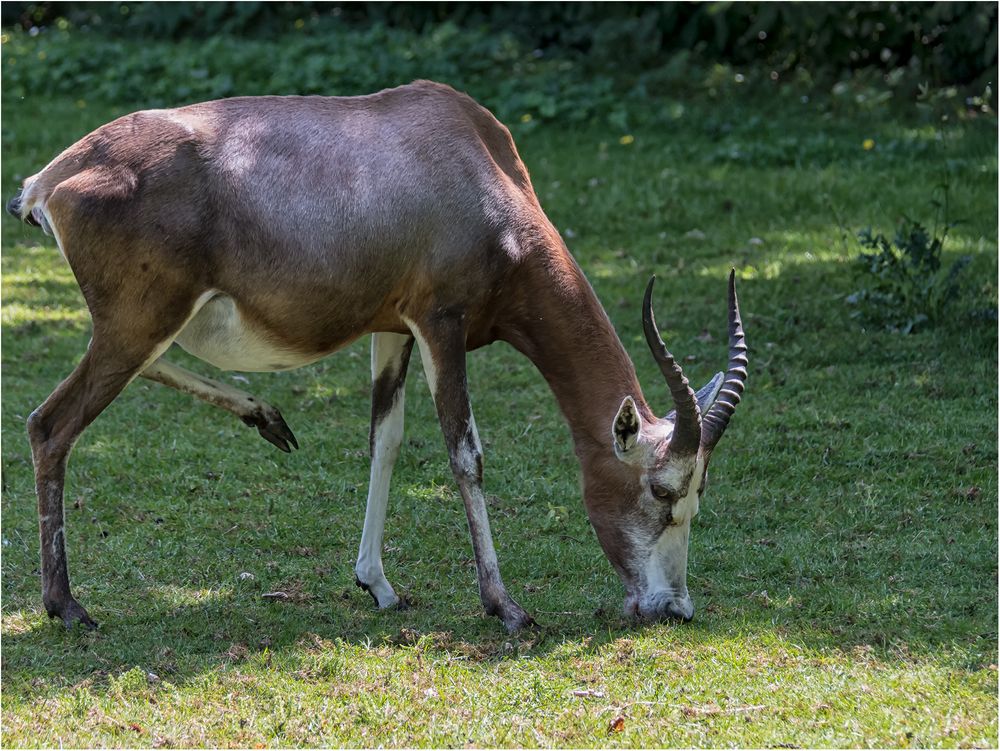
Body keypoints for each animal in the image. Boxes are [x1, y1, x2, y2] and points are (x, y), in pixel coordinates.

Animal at [5, 81, 744, 636]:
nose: (673, 608)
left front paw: (379, 585)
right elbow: (465, 454)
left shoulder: (394, 330)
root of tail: (53, 179)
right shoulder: (442, 324)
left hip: (142, 328)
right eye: (662, 490)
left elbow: (383, 441)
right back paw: (67, 607)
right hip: (137, 325)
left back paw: (267, 417)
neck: (475, 161)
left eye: (700, 493)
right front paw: (506, 607)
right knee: (50, 425)